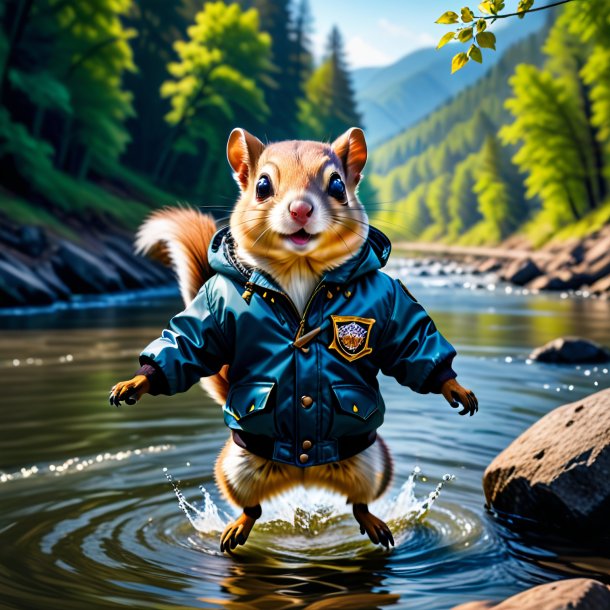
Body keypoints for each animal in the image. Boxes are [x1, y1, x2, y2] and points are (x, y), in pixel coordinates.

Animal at [110, 127, 480, 552]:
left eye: (337, 185)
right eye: (262, 186)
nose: (301, 210)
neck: (300, 268)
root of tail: (304, 473)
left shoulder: (390, 297)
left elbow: (410, 339)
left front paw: (452, 385)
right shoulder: (214, 303)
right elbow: (190, 340)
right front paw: (138, 380)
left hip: (372, 462)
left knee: (359, 502)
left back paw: (372, 523)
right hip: (237, 467)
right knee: (251, 506)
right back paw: (239, 527)